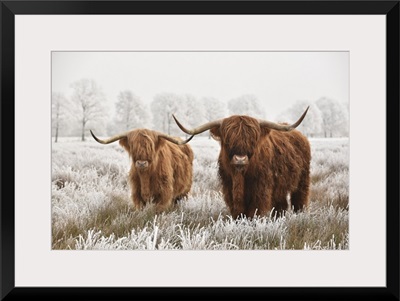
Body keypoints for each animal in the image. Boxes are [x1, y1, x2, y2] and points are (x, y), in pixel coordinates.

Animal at [173, 108, 310, 218]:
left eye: (253, 140)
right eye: (228, 140)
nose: (240, 159)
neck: (240, 176)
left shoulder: (261, 190)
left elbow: (254, 211)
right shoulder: (229, 188)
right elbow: (237, 211)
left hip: (303, 180)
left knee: (299, 200)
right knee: (281, 205)